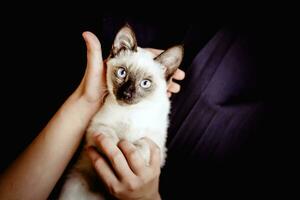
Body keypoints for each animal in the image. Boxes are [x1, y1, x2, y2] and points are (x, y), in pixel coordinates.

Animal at [58, 24, 183, 199]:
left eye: (145, 83)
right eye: (122, 73)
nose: (126, 94)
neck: (132, 111)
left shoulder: (157, 144)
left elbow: (142, 145)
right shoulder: (95, 128)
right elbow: (110, 138)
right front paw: (117, 147)